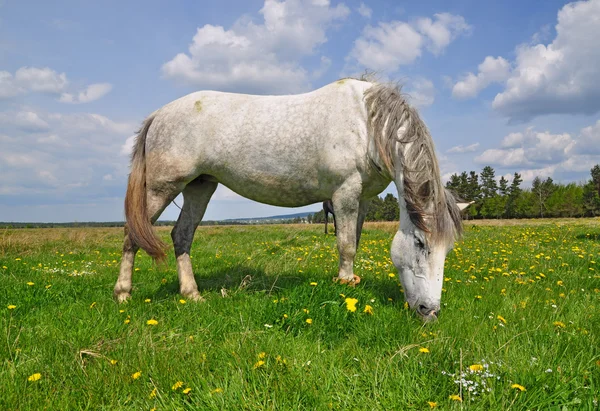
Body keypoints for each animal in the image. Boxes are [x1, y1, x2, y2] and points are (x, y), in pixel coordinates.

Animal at [113, 78, 468, 322]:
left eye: (448, 249)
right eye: (421, 243)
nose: (429, 311)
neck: (367, 125)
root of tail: (158, 115)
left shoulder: (363, 199)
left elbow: (353, 239)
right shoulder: (345, 193)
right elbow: (346, 245)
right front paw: (345, 284)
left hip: (200, 187)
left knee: (182, 235)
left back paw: (192, 295)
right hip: (161, 188)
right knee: (133, 234)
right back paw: (123, 294)